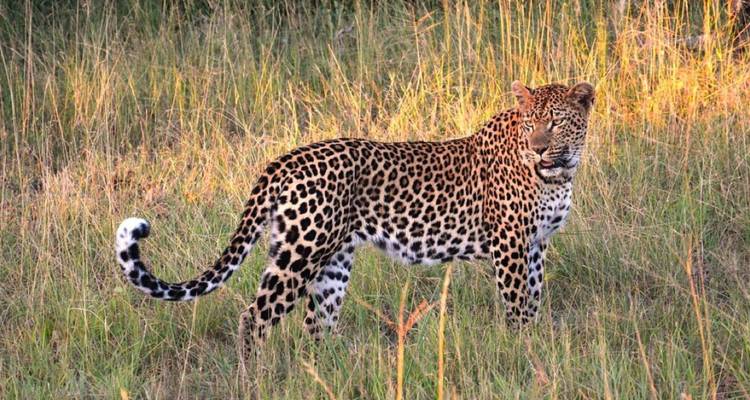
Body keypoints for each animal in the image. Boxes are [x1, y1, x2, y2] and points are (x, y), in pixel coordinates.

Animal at [114, 80, 594, 362]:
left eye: (554, 123)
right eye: (530, 124)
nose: (537, 148)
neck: (560, 172)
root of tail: (284, 160)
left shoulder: (536, 245)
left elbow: (534, 298)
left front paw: (535, 343)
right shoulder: (510, 244)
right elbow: (518, 305)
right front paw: (522, 349)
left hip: (331, 262)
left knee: (316, 325)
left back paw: (322, 373)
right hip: (301, 253)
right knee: (255, 317)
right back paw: (253, 377)